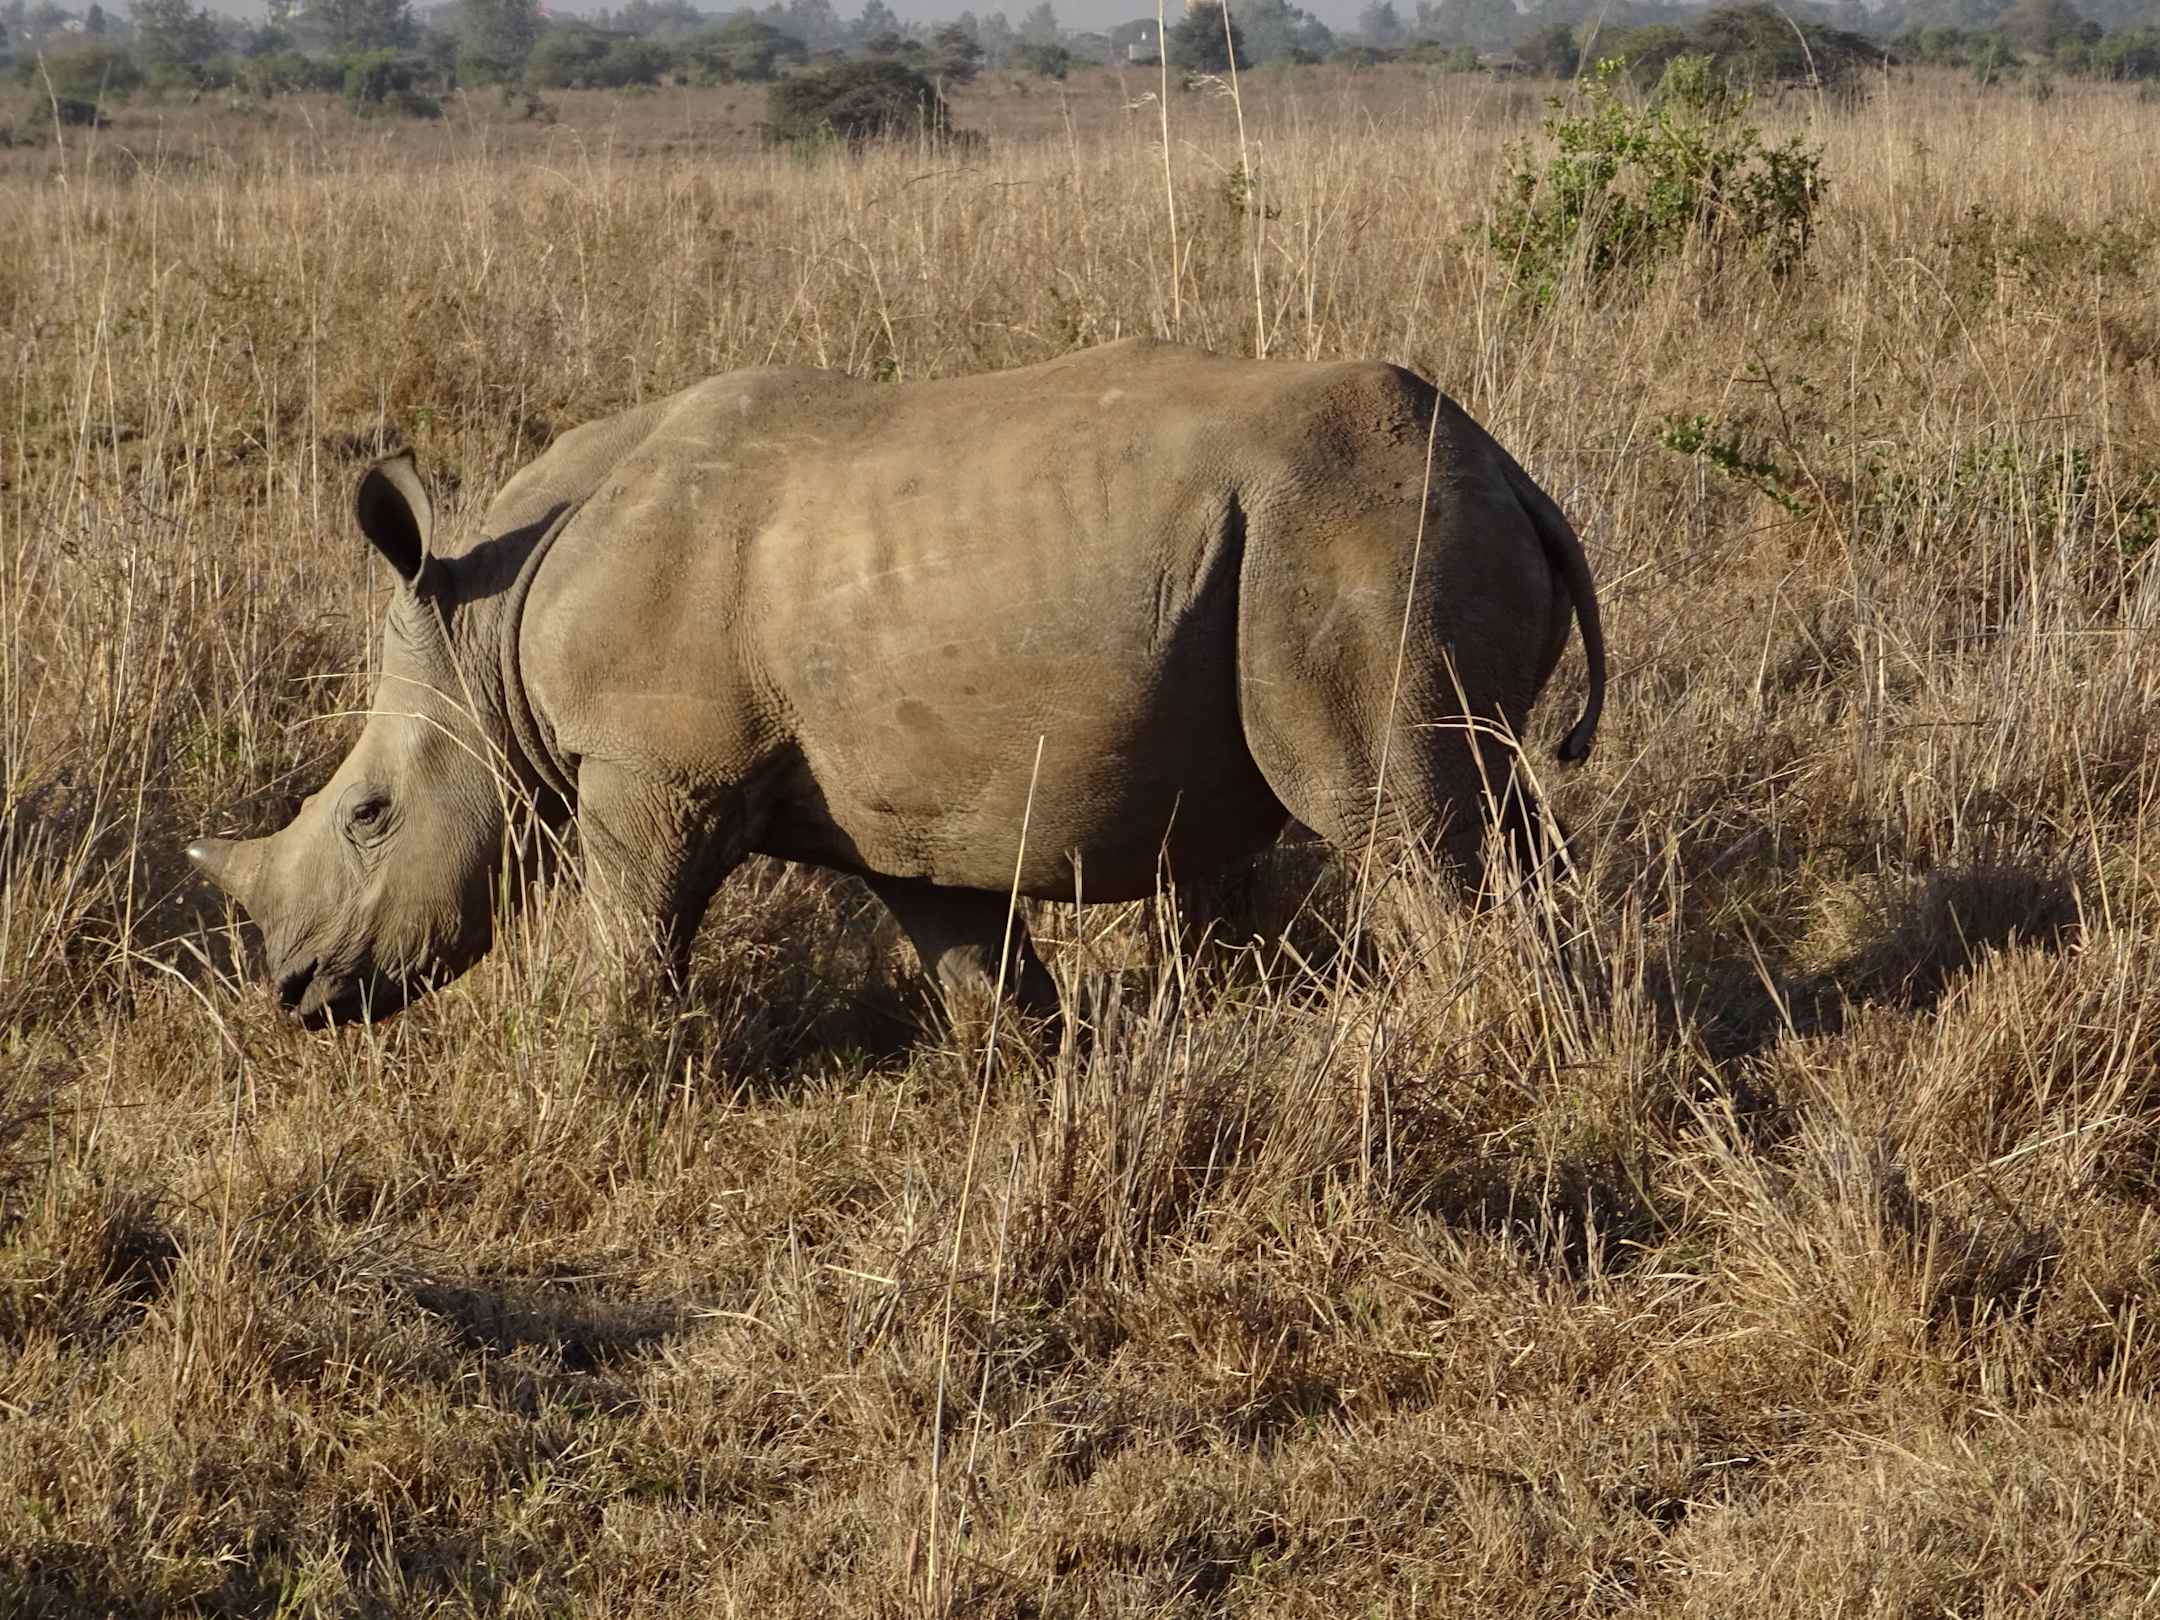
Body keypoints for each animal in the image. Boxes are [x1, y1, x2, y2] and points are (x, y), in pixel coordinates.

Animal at [186, 339, 1606, 1027]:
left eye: (369, 817)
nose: (293, 996)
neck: (490, 633)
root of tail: (1510, 470)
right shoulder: (900, 802)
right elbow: (970, 956)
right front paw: (1035, 1065)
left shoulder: (652, 766)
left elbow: (633, 939)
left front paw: (603, 1070)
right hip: (1390, 519)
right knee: (1486, 807)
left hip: (1357, 525)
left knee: (1398, 823)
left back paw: (1491, 1043)